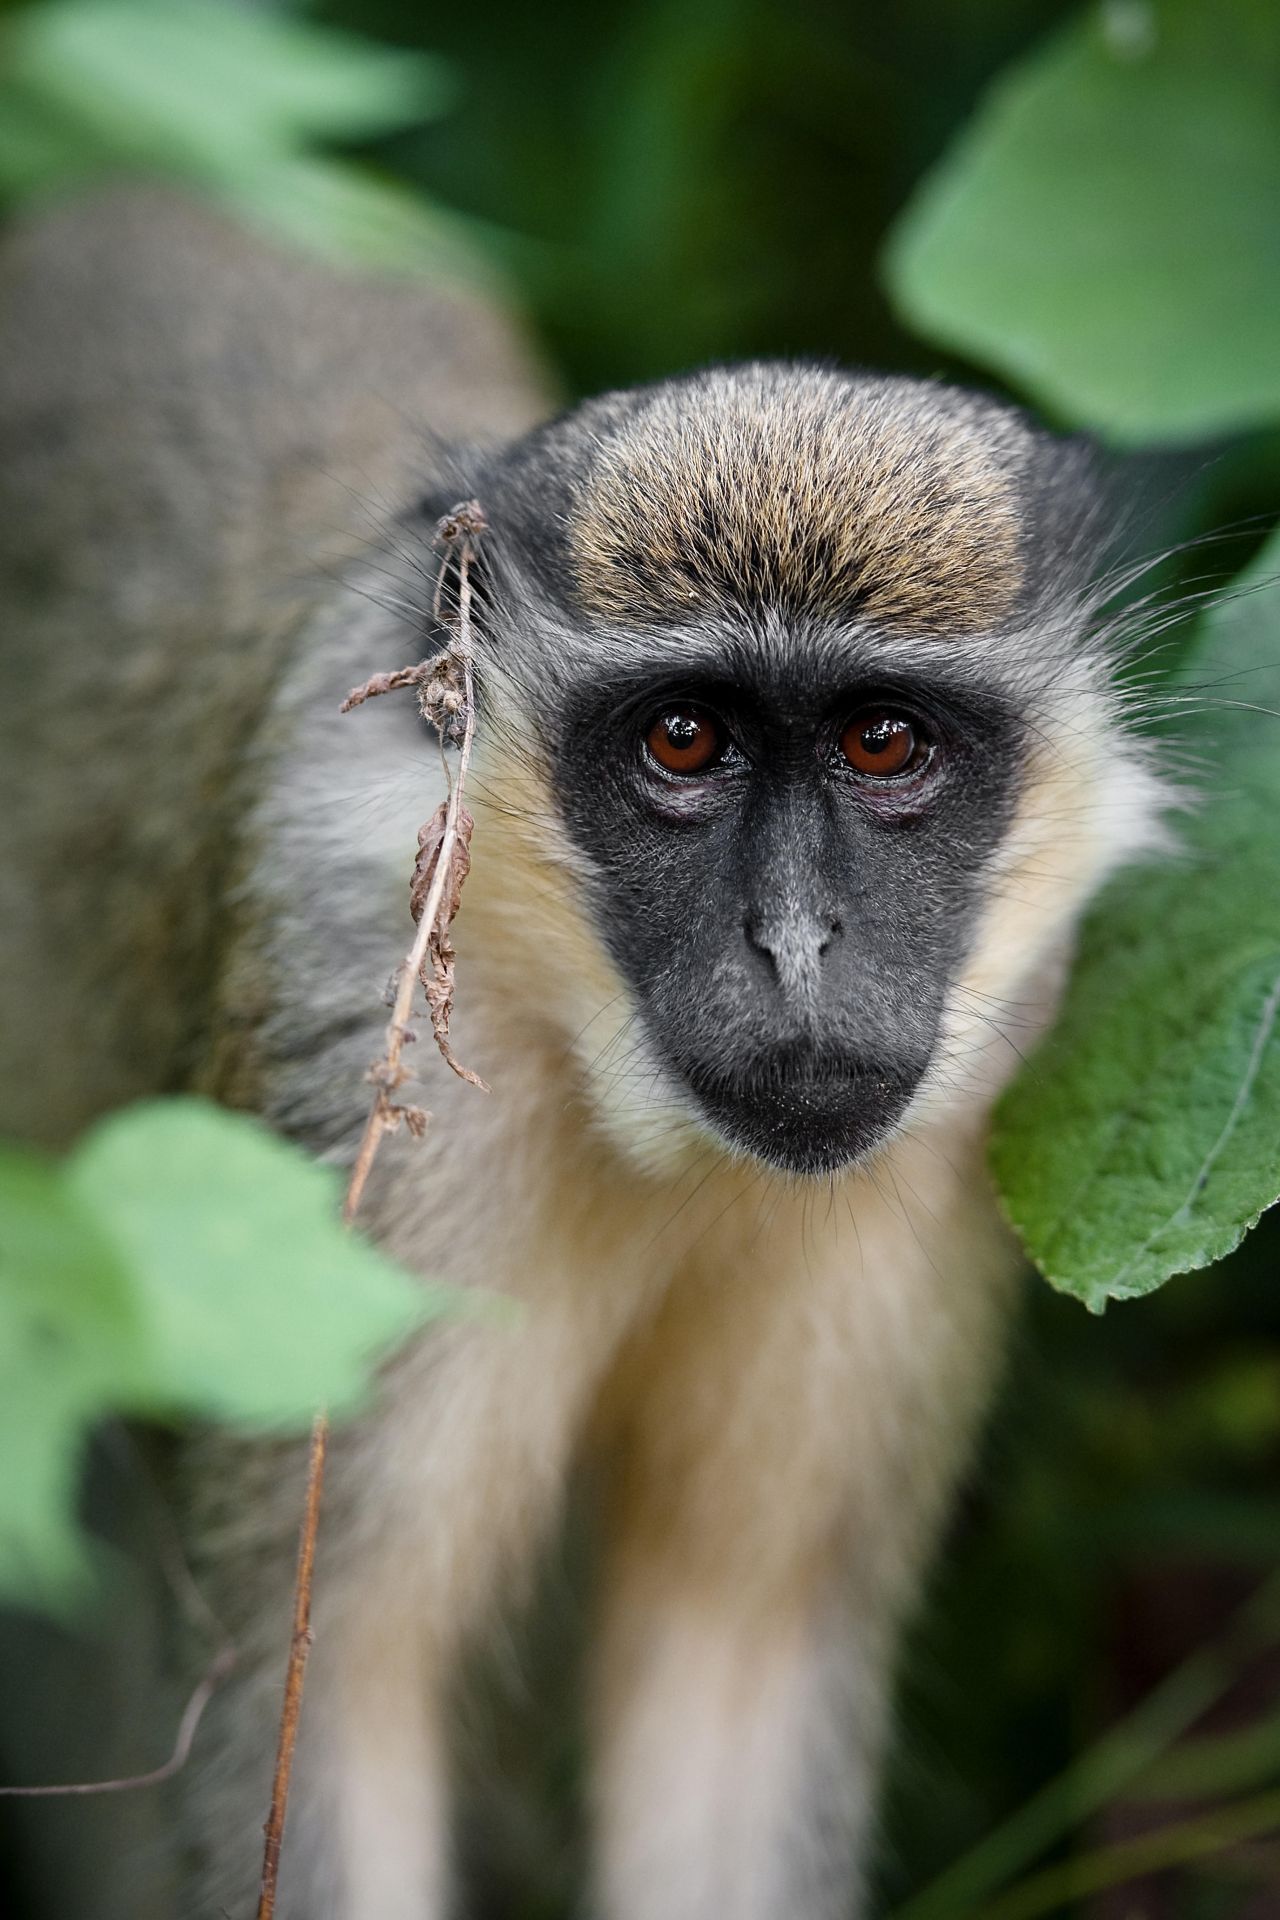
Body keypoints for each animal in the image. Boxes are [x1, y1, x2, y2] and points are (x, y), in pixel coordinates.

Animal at [0, 191, 1174, 1920]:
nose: (796, 946)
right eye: (683, 741)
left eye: (885, 742)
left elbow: (735, 1659)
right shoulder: (348, 1039)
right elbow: (323, 1691)